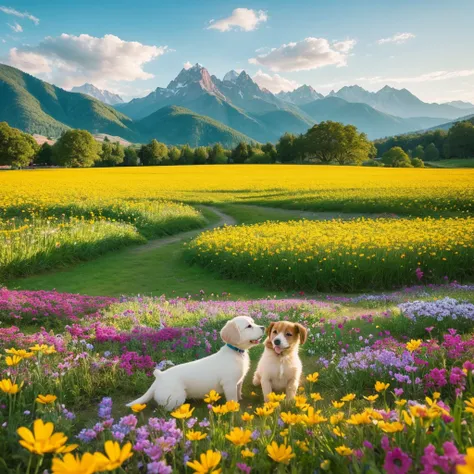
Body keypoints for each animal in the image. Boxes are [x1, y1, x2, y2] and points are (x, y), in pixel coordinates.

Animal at [128, 318, 264, 412]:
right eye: (249, 326)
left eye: (253, 322)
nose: (263, 327)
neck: (236, 353)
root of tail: (159, 377)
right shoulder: (229, 384)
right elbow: (232, 399)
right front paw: (235, 409)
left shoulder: (238, 382)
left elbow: (238, 392)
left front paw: (240, 399)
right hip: (176, 397)